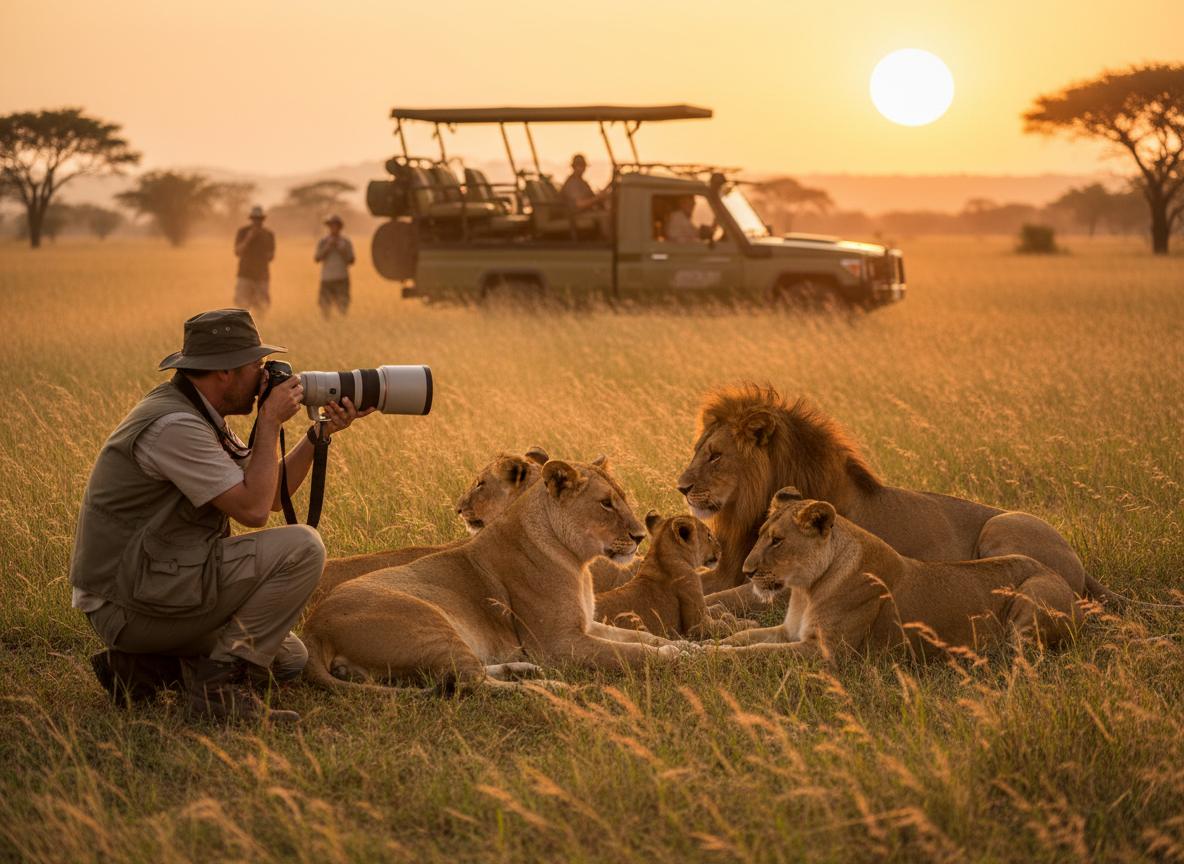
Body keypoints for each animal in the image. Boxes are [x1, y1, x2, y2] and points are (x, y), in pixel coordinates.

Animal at [595, 511, 755, 639]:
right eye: (709, 536)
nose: (720, 548)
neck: (660, 557)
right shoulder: (696, 626)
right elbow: (723, 624)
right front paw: (749, 624)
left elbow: (717, 608)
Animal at [676, 385, 1101, 612]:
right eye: (698, 450)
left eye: (715, 455)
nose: (680, 487)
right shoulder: (733, 568)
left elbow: (723, 598)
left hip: (1003, 525)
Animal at [715, 487, 1082, 660]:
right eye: (761, 534)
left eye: (777, 541)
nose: (746, 572)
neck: (806, 590)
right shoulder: (789, 631)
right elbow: (745, 637)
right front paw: (709, 644)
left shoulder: (826, 653)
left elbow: (753, 654)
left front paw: (710, 659)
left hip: (1031, 598)